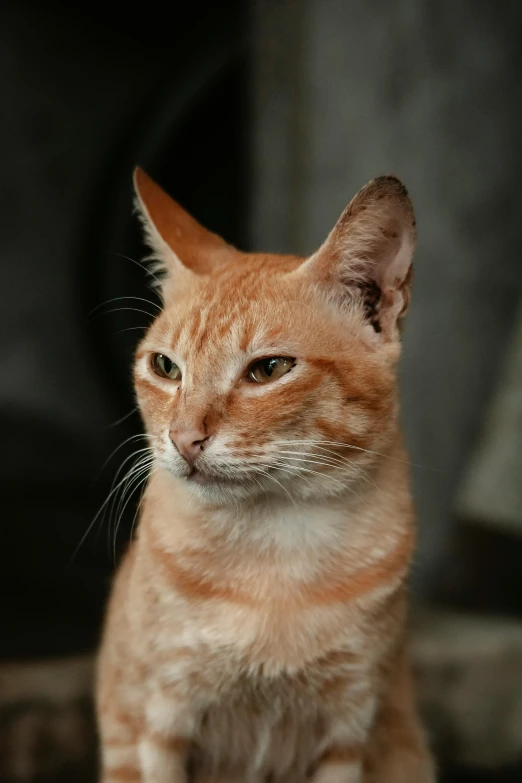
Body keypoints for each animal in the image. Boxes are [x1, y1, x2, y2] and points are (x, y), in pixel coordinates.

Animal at [95, 167, 432, 783]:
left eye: (269, 369)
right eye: (165, 367)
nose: (183, 438)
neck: (270, 551)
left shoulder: (347, 734)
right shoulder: (161, 724)